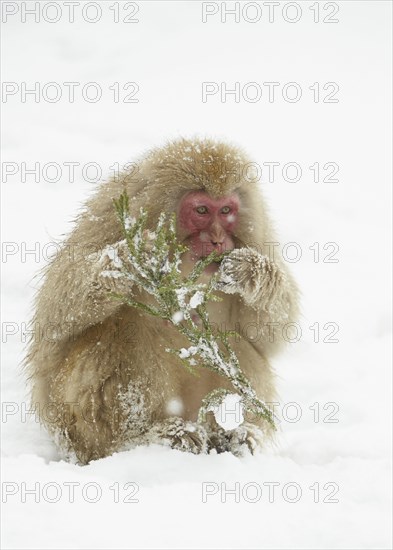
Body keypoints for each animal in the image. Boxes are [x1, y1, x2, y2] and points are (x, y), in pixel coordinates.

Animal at [25, 138, 298, 466]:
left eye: (226, 210)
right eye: (202, 210)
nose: (218, 239)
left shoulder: (258, 238)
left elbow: (269, 336)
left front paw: (251, 271)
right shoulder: (111, 213)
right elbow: (55, 315)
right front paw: (128, 261)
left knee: (234, 343)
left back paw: (236, 435)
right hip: (72, 427)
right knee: (121, 329)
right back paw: (146, 438)